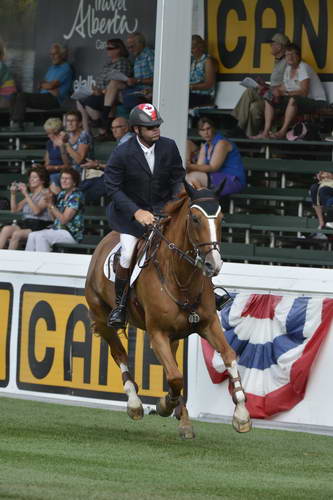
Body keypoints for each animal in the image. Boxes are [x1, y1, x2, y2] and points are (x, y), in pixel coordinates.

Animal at [84, 182, 250, 440]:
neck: (180, 277)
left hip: (174, 336)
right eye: (195, 218)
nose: (214, 265)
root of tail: (105, 241)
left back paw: (184, 421)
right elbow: (175, 377)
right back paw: (135, 403)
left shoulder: (208, 324)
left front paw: (241, 414)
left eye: (221, 218)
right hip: (103, 319)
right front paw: (164, 405)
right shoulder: (158, 334)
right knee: (120, 354)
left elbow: (229, 356)